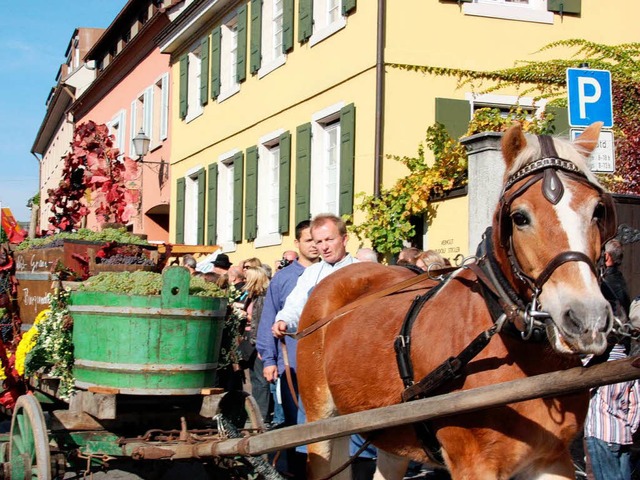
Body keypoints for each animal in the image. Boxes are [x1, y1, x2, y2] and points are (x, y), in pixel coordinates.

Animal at [298, 123, 616, 480]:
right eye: (520, 217)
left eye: (598, 210)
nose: (587, 318)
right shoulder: (474, 465)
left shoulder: (553, 459)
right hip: (323, 421)